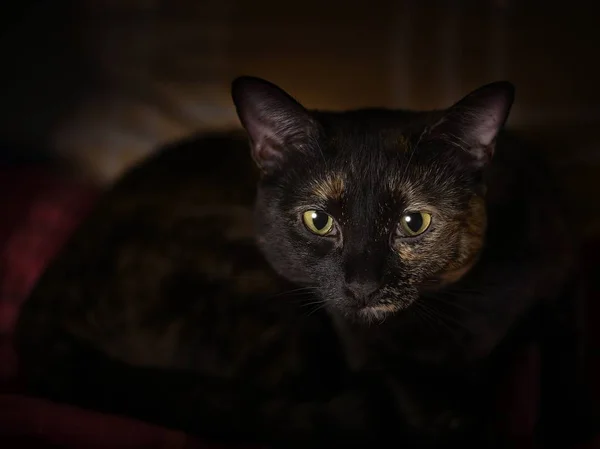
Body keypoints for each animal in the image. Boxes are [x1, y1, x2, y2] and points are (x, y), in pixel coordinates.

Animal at [14, 78, 596, 448]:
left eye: (414, 222)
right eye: (318, 220)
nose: (361, 286)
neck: (453, 314)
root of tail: (34, 318)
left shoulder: (565, 297)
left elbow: (566, 384)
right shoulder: (377, 361)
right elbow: (424, 409)